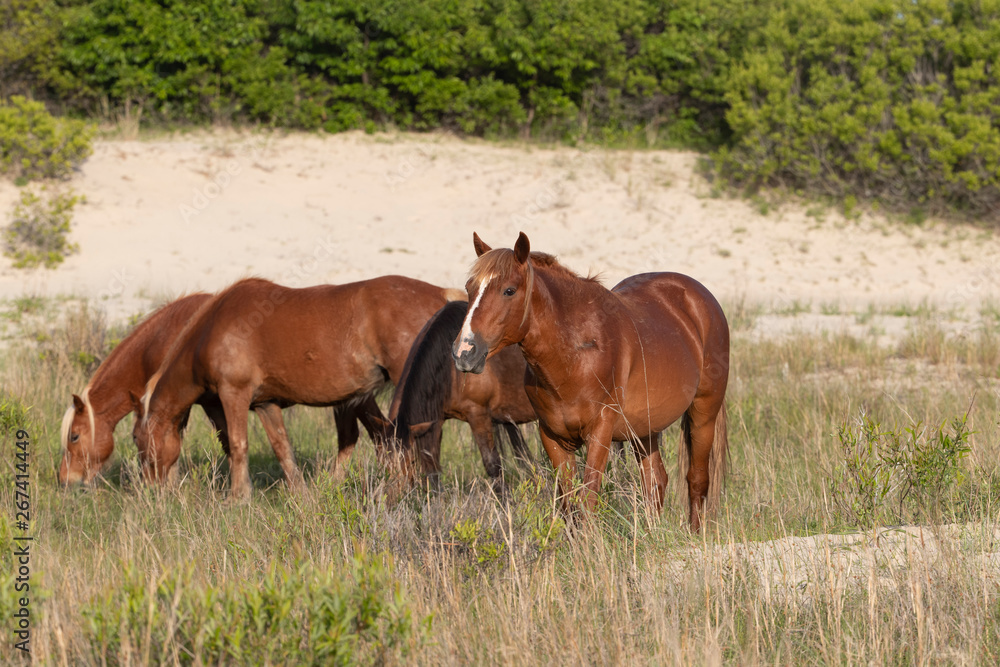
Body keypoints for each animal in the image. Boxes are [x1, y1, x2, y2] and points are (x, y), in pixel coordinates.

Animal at [135, 276, 464, 498]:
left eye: (138, 440)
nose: (150, 490)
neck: (213, 328)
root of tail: (441, 295)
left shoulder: (234, 394)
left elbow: (238, 444)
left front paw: (238, 497)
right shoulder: (265, 404)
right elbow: (282, 448)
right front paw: (301, 494)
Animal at [386, 300, 536, 488]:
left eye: (411, 462)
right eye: (385, 465)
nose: (393, 495)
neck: (449, 368)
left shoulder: (478, 416)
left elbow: (493, 466)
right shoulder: (435, 423)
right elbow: (433, 471)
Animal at [452, 232, 729, 532]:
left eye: (509, 291)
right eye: (469, 288)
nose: (464, 352)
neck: (575, 354)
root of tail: (700, 298)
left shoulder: (600, 432)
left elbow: (588, 499)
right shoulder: (553, 437)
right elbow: (569, 503)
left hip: (704, 413)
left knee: (697, 479)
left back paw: (695, 535)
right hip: (645, 427)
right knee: (655, 480)